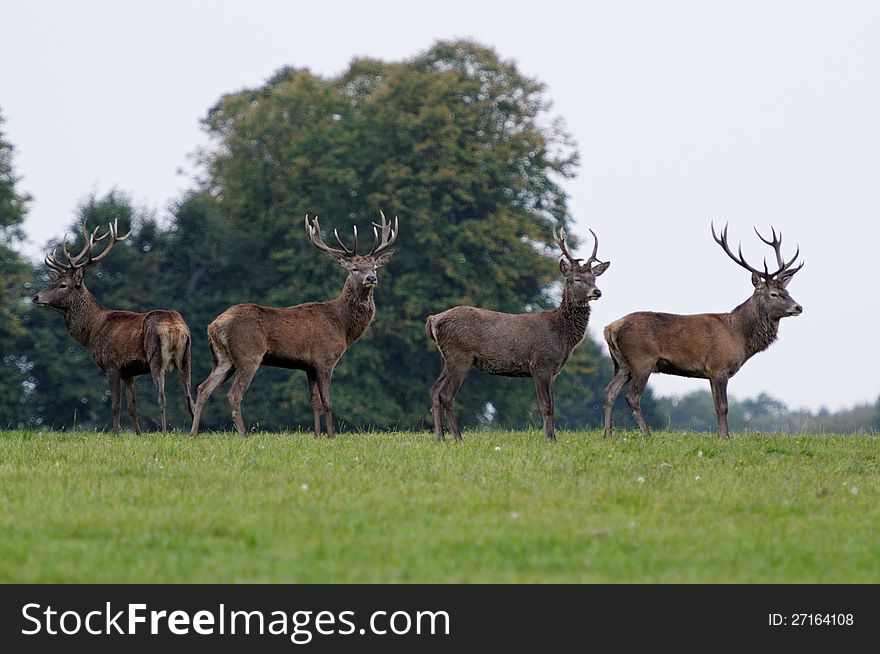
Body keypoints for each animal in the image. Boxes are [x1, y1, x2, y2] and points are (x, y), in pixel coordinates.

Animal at [33, 222, 195, 436]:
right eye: (52, 281)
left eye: (63, 285)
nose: (35, 297)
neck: (92, 331)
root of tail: (176, 328)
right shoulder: (129, 371)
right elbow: (132, 406)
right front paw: (138, 434)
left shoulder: (112, 364)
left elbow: (115, 405)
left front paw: (116, 433)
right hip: (186, 357)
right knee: (191, 396)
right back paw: (194, 431)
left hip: (157, 357)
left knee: (162, 397)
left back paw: (165, 432)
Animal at [192, 210, 398, 438]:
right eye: (354, 268)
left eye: (374, 267)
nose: (371, 278)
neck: (342, 327)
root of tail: (214, 326)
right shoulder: (324, 359)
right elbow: (328, 402)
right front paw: (331, 436)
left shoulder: (308, 365)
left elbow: (315, 402)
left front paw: (317, 435)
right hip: (248, 354)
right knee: (233, 394)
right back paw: (243, 434)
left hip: (223, 358)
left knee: (203, 388)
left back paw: (193, 433)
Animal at [428, 228, 612, 444]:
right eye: (576, 279)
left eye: (594, 278)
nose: (596, 292)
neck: (562, 335)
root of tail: (434, 319)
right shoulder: (540, 363)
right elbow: (545, 405)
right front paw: (548, 439)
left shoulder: (554, 370)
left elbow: (553, 406)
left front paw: (553, 438)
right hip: (460, 356)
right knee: (446, 394)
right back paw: (458, 438)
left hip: (446, 358)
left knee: (434, 390)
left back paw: (440, 437)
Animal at [604, 226, 804, 440]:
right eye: (774, 294)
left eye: (788, 291)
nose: (798, 307)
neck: (739, 336)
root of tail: (610, 328)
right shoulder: (719, 367)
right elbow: (723, 406)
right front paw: (725, 437)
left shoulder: (709, 373)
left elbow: (716, 405)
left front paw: (720, 435)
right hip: (642, 360)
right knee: (632, 397)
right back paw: (646, 433)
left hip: (622, 364)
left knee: (609, 391)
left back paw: (607, 434)